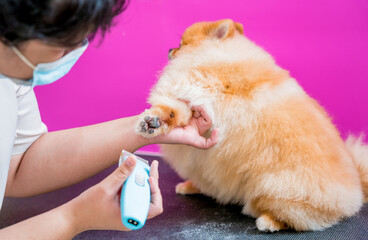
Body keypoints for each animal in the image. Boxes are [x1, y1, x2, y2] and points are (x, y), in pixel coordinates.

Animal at [136, 19, 368, 232]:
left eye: (181, 43)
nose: (169, 49)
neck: (214, 56)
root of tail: (356, 188)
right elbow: (174, 110)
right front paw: (155, 121)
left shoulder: (207, 97)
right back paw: (190, 185)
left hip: (279, 187)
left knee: (295, 217)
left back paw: (269, 221)